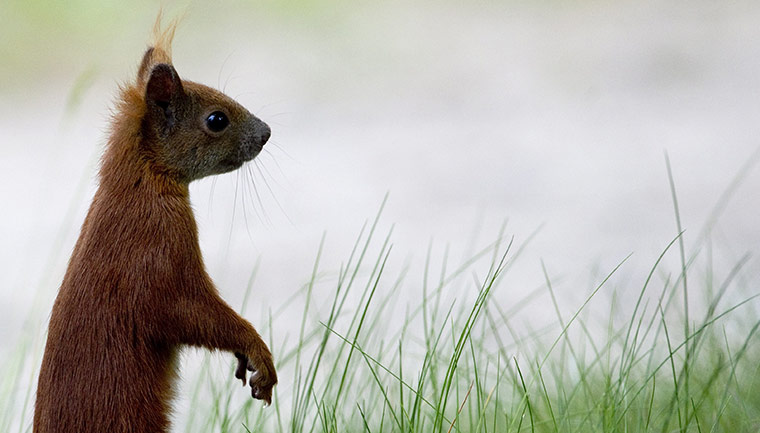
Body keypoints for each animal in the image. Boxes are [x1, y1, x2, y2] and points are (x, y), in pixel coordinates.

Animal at [33, 18, 277, 433]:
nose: (266, 133)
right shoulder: (160, 264)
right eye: (216, 119)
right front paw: (260, 357)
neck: (138, 187)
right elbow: (199, 315)